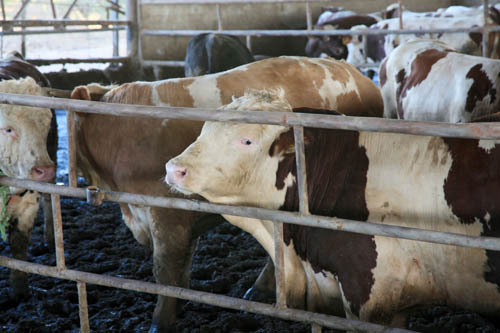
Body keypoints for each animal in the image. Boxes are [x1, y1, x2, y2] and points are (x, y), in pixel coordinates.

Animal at [0, 77, 56, 298]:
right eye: (8, 129)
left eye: (46, 125)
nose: (44, 170)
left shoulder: (28, 202)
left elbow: (19, 241)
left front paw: (20, 290)